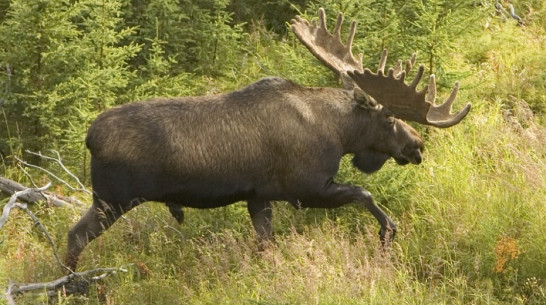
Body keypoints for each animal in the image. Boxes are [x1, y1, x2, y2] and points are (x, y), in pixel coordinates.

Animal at [66, 8, 470, 270]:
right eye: (389, 117)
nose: (417, 146)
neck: (339, 133)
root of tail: (89, 138)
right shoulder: (305, 187)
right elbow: (364, 193)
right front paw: (388, 234)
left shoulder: (259, 196)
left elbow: (265, 244)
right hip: (113, 199)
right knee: (75, 237)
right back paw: (72, 287)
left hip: (108, 199)